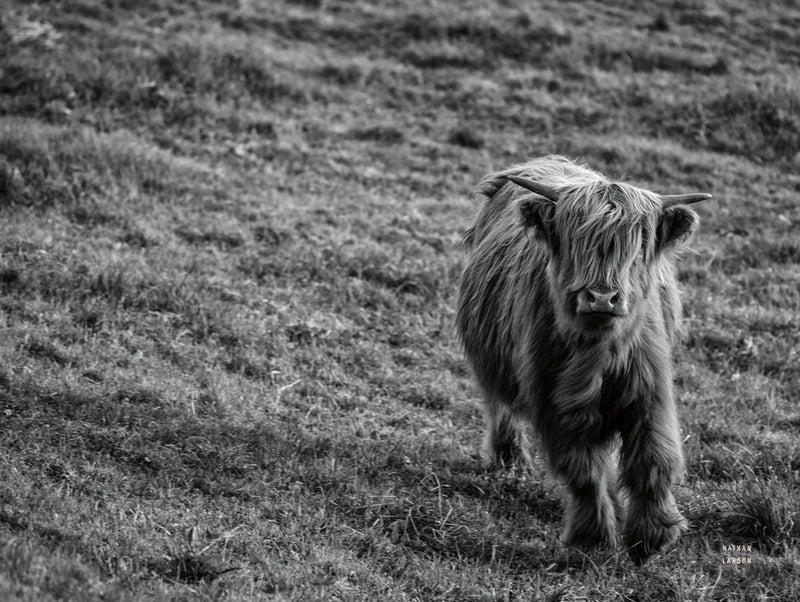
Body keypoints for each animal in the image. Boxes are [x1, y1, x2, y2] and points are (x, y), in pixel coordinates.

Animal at [456, 155, 711, 564]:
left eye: (638, 243)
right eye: (575, 238)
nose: (601, 298)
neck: (598, 354)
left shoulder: (650, 395)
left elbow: (653, 460)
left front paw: (652, 536)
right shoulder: (556, 405)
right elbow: (584, 471)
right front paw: (593, 538)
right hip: (491, 357)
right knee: (499, 404)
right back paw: (510, 460)